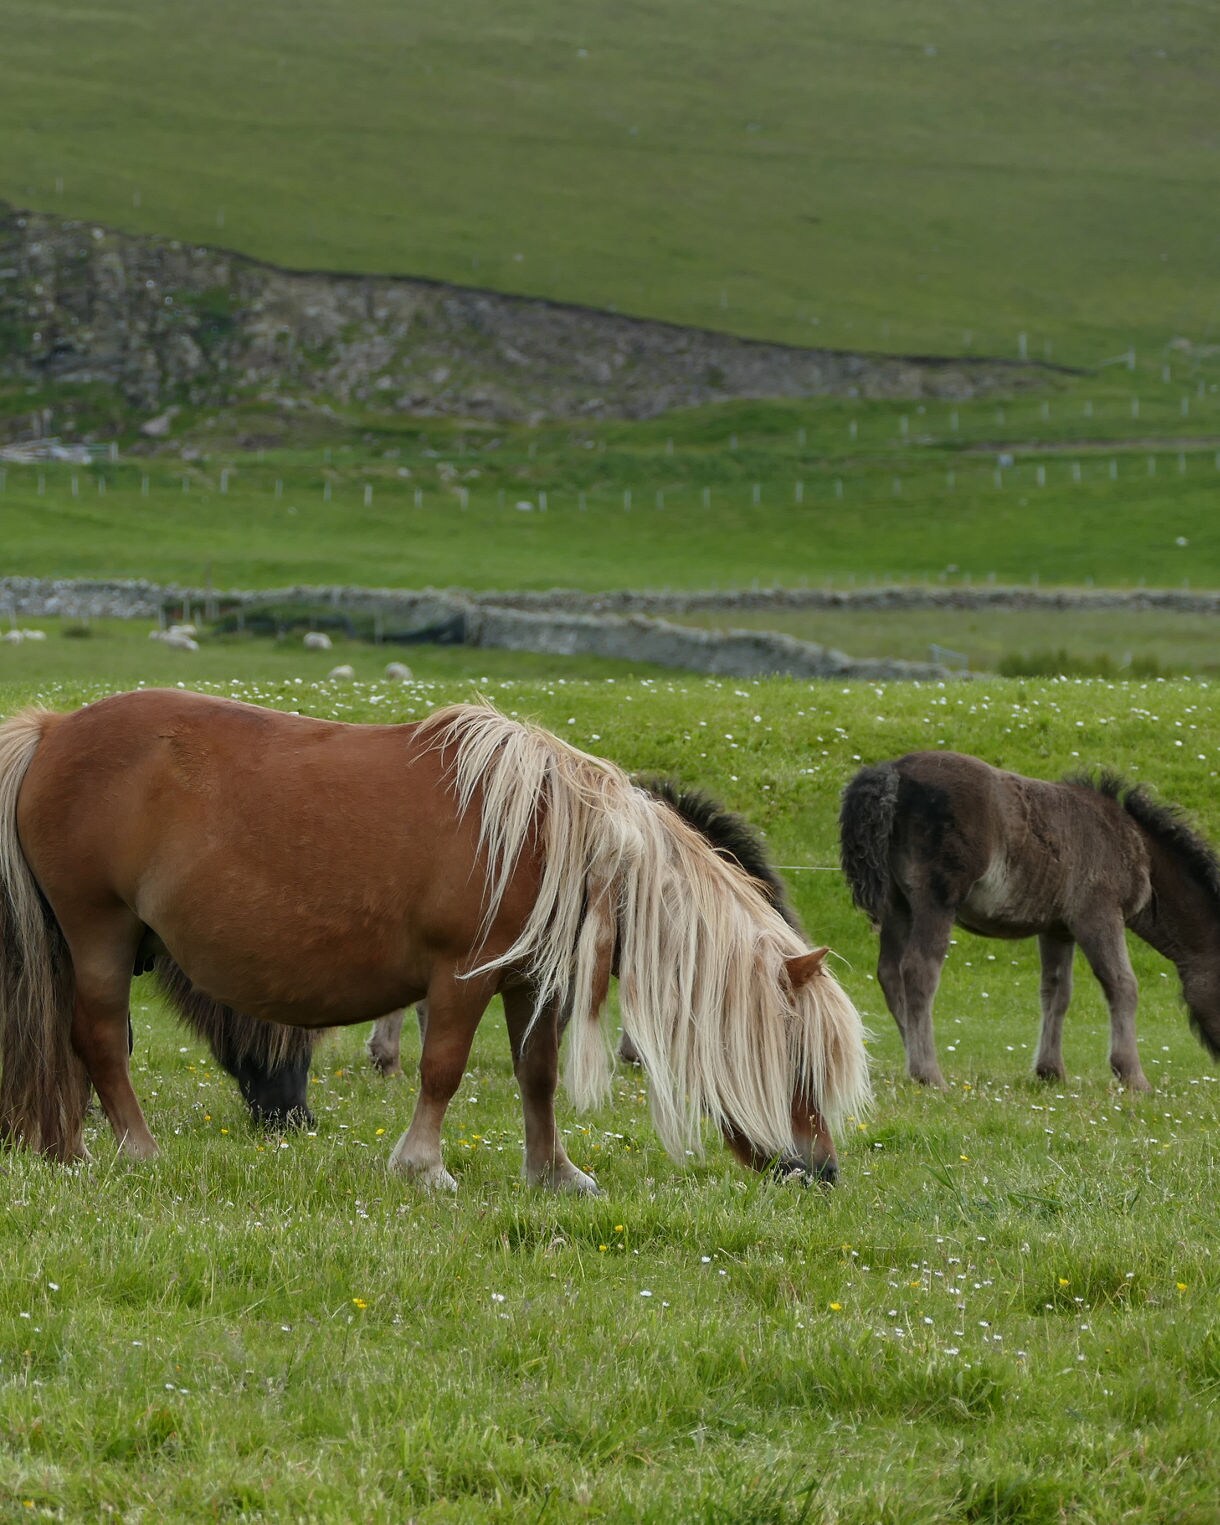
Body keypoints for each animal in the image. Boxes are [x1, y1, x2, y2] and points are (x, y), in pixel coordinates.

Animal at [0, 689, 869, 1189]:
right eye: (798, 1062)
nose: (822, 1171)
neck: (555, 838)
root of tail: (53, 731)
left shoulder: (529, 981)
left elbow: (537, 1076)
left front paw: (554, 1172)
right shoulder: (462, 974)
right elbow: (443, 1067)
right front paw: (423, 1166)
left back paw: (72, 1148)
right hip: (100, 932)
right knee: (101, 1039)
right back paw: (135, 1150)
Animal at [839, 751, 1220, 1090]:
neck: (1137, 848)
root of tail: (895, 771)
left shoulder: (1057, 929)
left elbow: (1056, 991)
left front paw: (1051, 1071)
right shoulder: (1098, 916)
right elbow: (1122, 984)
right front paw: (1132, 1075)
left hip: (898, 905)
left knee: (889, 973)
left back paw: (911, 1063)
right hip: (935, 901)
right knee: (918, 971)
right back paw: (929, 1074)